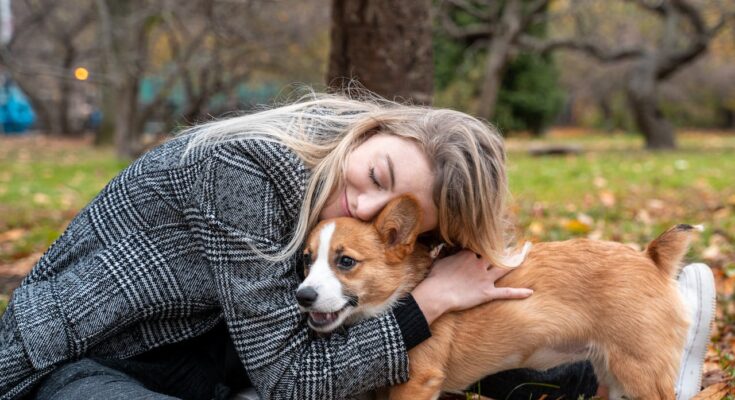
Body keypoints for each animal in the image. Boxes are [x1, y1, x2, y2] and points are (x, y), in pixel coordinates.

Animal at [296, 195, 692, 398]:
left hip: (640, 372)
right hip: (612, 376)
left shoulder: (417, 383)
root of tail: (650, 257)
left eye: (346, 262)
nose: (302, 296)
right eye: (307, 260)